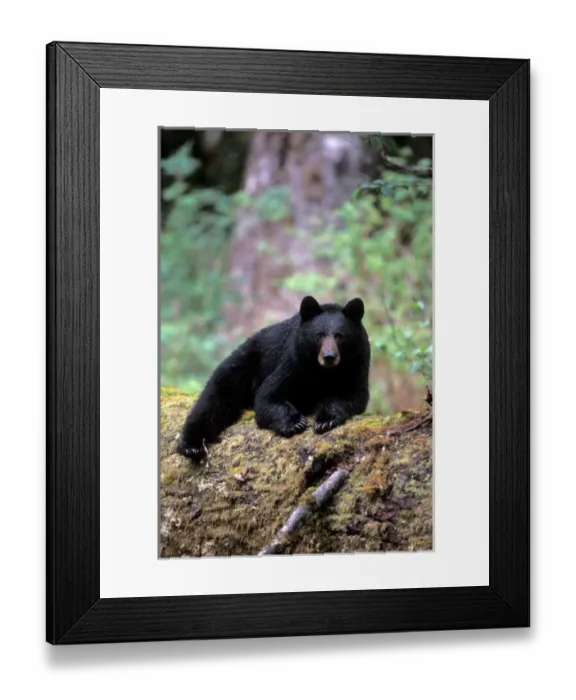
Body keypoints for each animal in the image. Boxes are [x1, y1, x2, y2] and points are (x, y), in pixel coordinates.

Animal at [176, 295, 370, 462]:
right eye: (319, 335)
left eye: (339, 335)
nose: (329, 357)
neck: (323, 372)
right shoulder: (294, 362)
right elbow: (268, 396)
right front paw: (294, 423)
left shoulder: (357, 365)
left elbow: (352, 396)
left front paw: (325, 420)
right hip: (243, 366)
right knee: (213, 400)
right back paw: (192, 446)